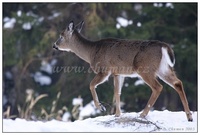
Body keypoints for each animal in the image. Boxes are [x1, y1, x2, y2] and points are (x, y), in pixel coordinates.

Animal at [52, 20, 192, 121]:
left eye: (61, 35)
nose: (54, 45)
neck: (91, 52)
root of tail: (164, 46)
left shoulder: (105, 70)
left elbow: (91, 85)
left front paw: (101, 107)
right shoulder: (118, 73)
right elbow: (117, 93)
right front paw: (117, 114)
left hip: (145, 69)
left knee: (158, 87)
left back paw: (142, 114)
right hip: (164, 68)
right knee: (177, 83)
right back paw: (189, 116)